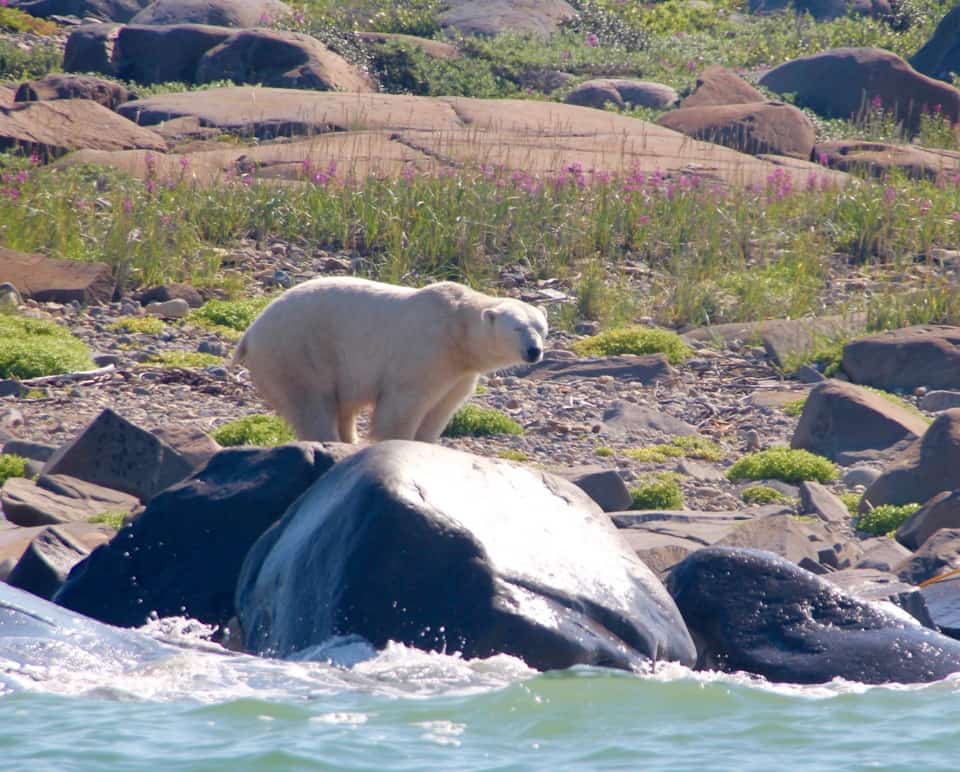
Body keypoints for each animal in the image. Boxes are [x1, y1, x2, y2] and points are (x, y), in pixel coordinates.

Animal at [232, 278, 548, 444]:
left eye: (541, 328)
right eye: (517, 327)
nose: (534, 351)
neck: (456, 328)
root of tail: (250, 331)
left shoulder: (459, 371)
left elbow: (442, 407)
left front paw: (426, 443)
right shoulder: (425, 351)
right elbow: (403, 404)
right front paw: (396, 443)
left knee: (341, 406)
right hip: (297, 349)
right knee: (311, 401)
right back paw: (330, 441)